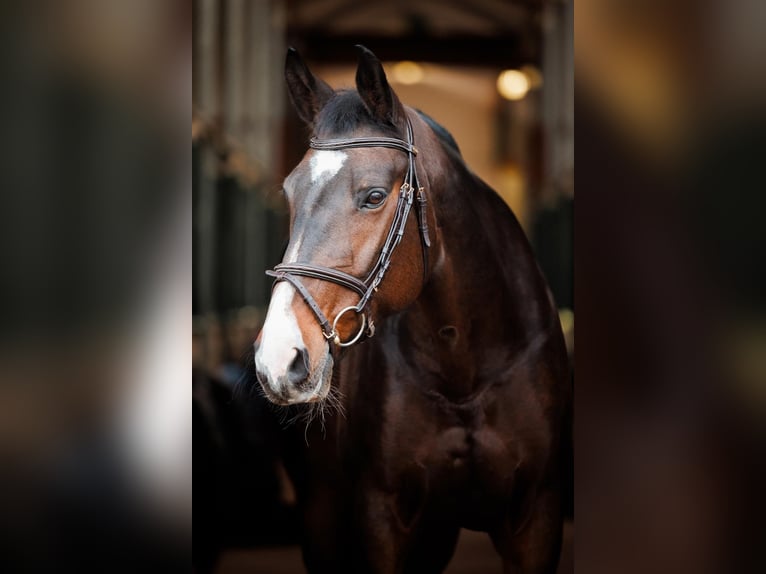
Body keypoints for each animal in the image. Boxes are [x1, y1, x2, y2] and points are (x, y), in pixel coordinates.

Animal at [253, 45, 571, 574]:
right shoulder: (384, 518)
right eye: (289, 193)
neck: (465, 368)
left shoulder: (537, 517)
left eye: (374, 196)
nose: (278, 361)